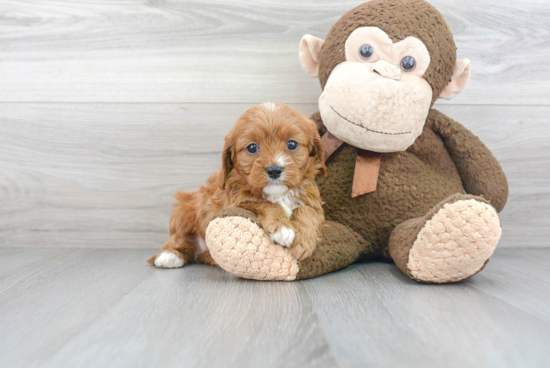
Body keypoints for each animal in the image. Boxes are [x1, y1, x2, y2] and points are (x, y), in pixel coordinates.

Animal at [148, 102, 328, 268]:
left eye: (292, 144)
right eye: (252, 147)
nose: (274, 170)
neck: (278, 194)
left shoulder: (313, 202)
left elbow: (307, 210)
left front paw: (303, 242)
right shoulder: (234, 202)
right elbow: (264, 203)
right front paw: (281, 227)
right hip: (182, 210)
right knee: (179, 240)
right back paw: (170, 256)